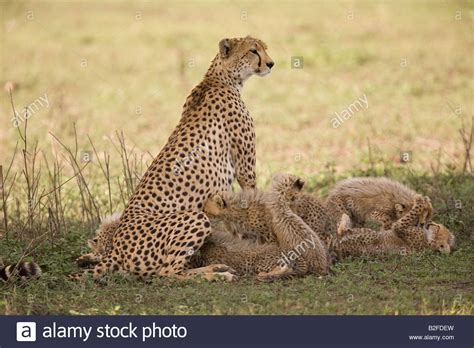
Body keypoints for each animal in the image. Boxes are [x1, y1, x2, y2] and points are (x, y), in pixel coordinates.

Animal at [77, 35, 274, 282]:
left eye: (264, 48)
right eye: (253, 51)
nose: (271, 64)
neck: (219, 79)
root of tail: (116, 248)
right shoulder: (245, 170)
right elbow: (252, 201)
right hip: (194, 218)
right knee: (167, 273)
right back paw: (216, 273)